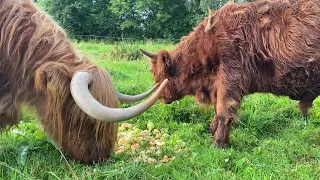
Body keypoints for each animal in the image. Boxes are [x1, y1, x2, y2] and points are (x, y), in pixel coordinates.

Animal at [141, 0, 320, 148]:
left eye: (160, 76)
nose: (163, 98)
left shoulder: (230, 79)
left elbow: (223, 112)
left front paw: (219, 143)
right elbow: (217, 111)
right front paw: (211, 131)